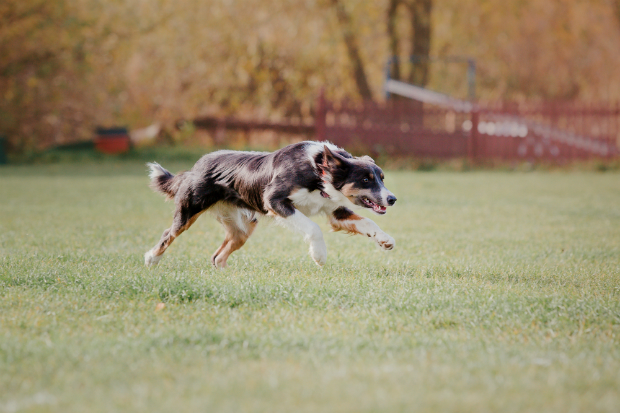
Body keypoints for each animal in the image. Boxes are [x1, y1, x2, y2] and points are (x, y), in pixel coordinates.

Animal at [144, 141, 398, 268]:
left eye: (382, 178)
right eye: (366, 180)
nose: (392, 199)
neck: (317, 170)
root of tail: (194, 167)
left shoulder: (334, 210)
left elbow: (368, 222)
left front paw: (385, 240)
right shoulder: (274, 200)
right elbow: (313, 228)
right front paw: (319, 256)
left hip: (243, 227)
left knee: (218, 256)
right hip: (189, 210)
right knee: (169, 234)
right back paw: (151, 259)